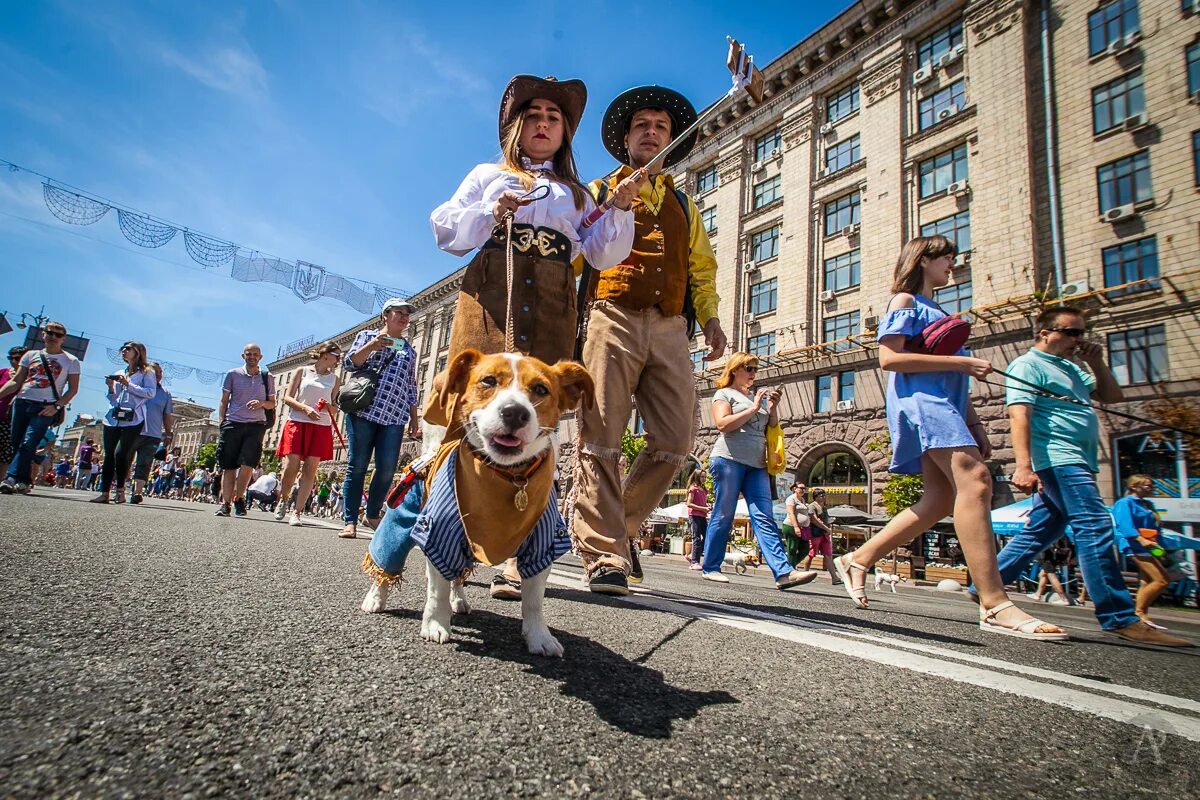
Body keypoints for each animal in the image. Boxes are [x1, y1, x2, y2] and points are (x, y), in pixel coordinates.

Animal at [360, 347, 595, 657]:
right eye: (488, 381)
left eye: (541, 389)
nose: (515, 412)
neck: (508, 476)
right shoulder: (437, 534)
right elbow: (436, 591)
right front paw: (435, 624)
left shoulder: (544, 544)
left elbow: (534, 601)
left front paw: (539, 637)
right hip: (401, 521)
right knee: (386, 561)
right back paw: (376, 598)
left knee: (457, 576)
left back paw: (459, 601)